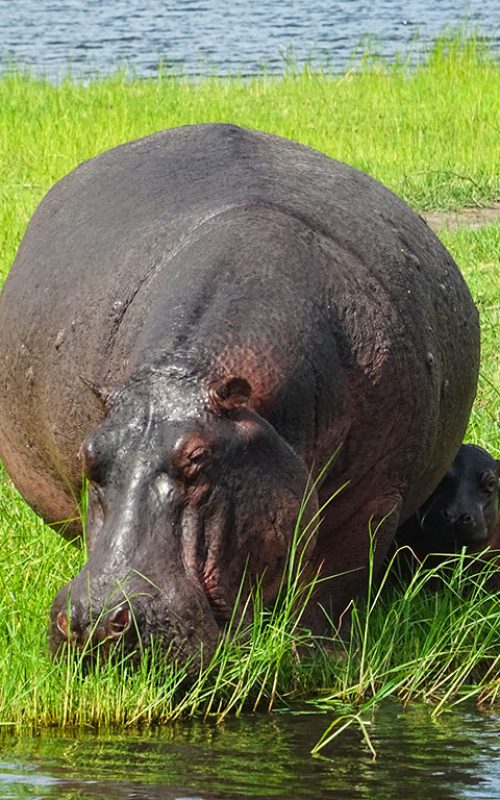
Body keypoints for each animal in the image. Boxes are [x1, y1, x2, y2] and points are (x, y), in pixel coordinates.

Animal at [0, 124, 480, 661]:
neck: (189, 370)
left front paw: (313, 659)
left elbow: (328, 593)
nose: (97, 620)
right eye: (89, 455)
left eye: (198, 458)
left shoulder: (368, 500)